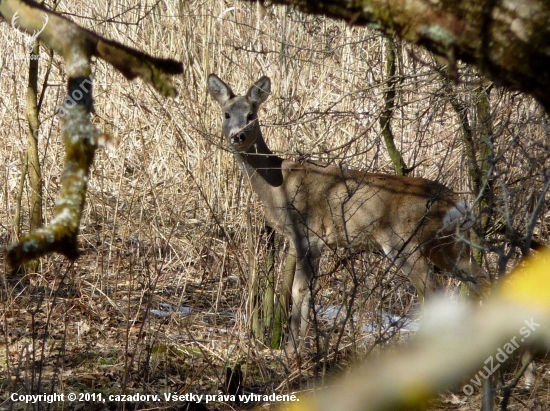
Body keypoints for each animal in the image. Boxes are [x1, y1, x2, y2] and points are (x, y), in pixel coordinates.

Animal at [208, 73, 492, 350]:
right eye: (226, 114)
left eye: (251, 115)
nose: (237, 137)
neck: (276, 184)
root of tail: (458, 203)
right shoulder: (314, 242)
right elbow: (307, 292)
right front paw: (298, 348)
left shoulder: (306, 234)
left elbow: (299, 291)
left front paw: (291, 350)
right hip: (448, 246)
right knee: (482, 280)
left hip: (405, 242)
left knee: (433, 293)